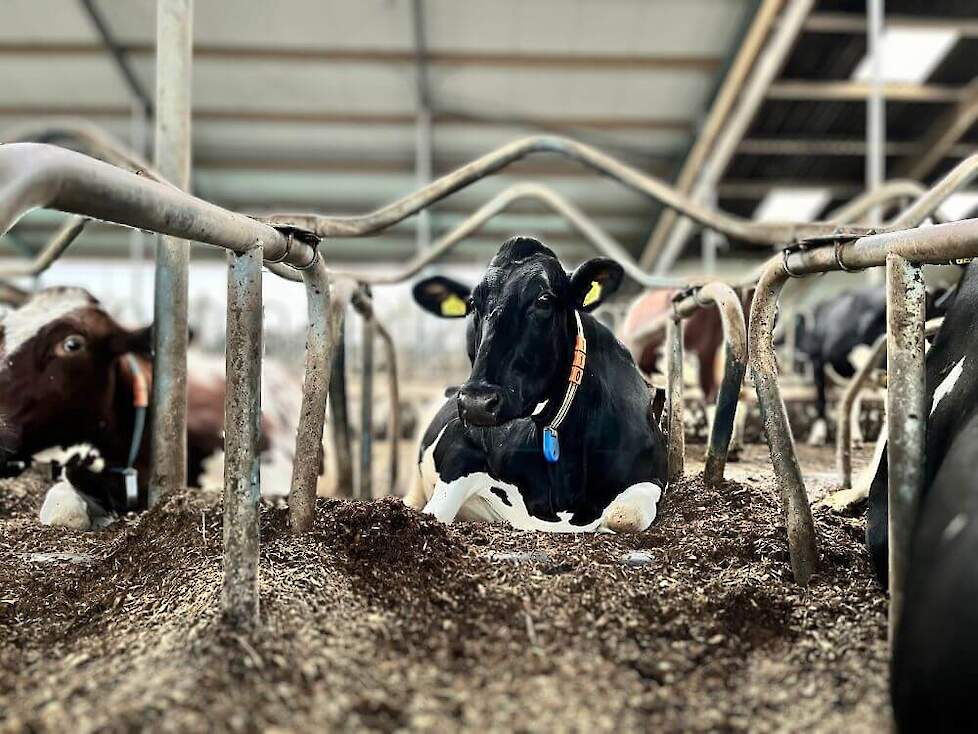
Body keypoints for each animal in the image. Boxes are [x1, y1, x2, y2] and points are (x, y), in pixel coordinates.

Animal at [400, 237, 668, 536]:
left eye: (544, 300)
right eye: (472, 303)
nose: (476, 402)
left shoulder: (652, 476)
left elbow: (626, 515)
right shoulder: (458, 446)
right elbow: (434, 513)